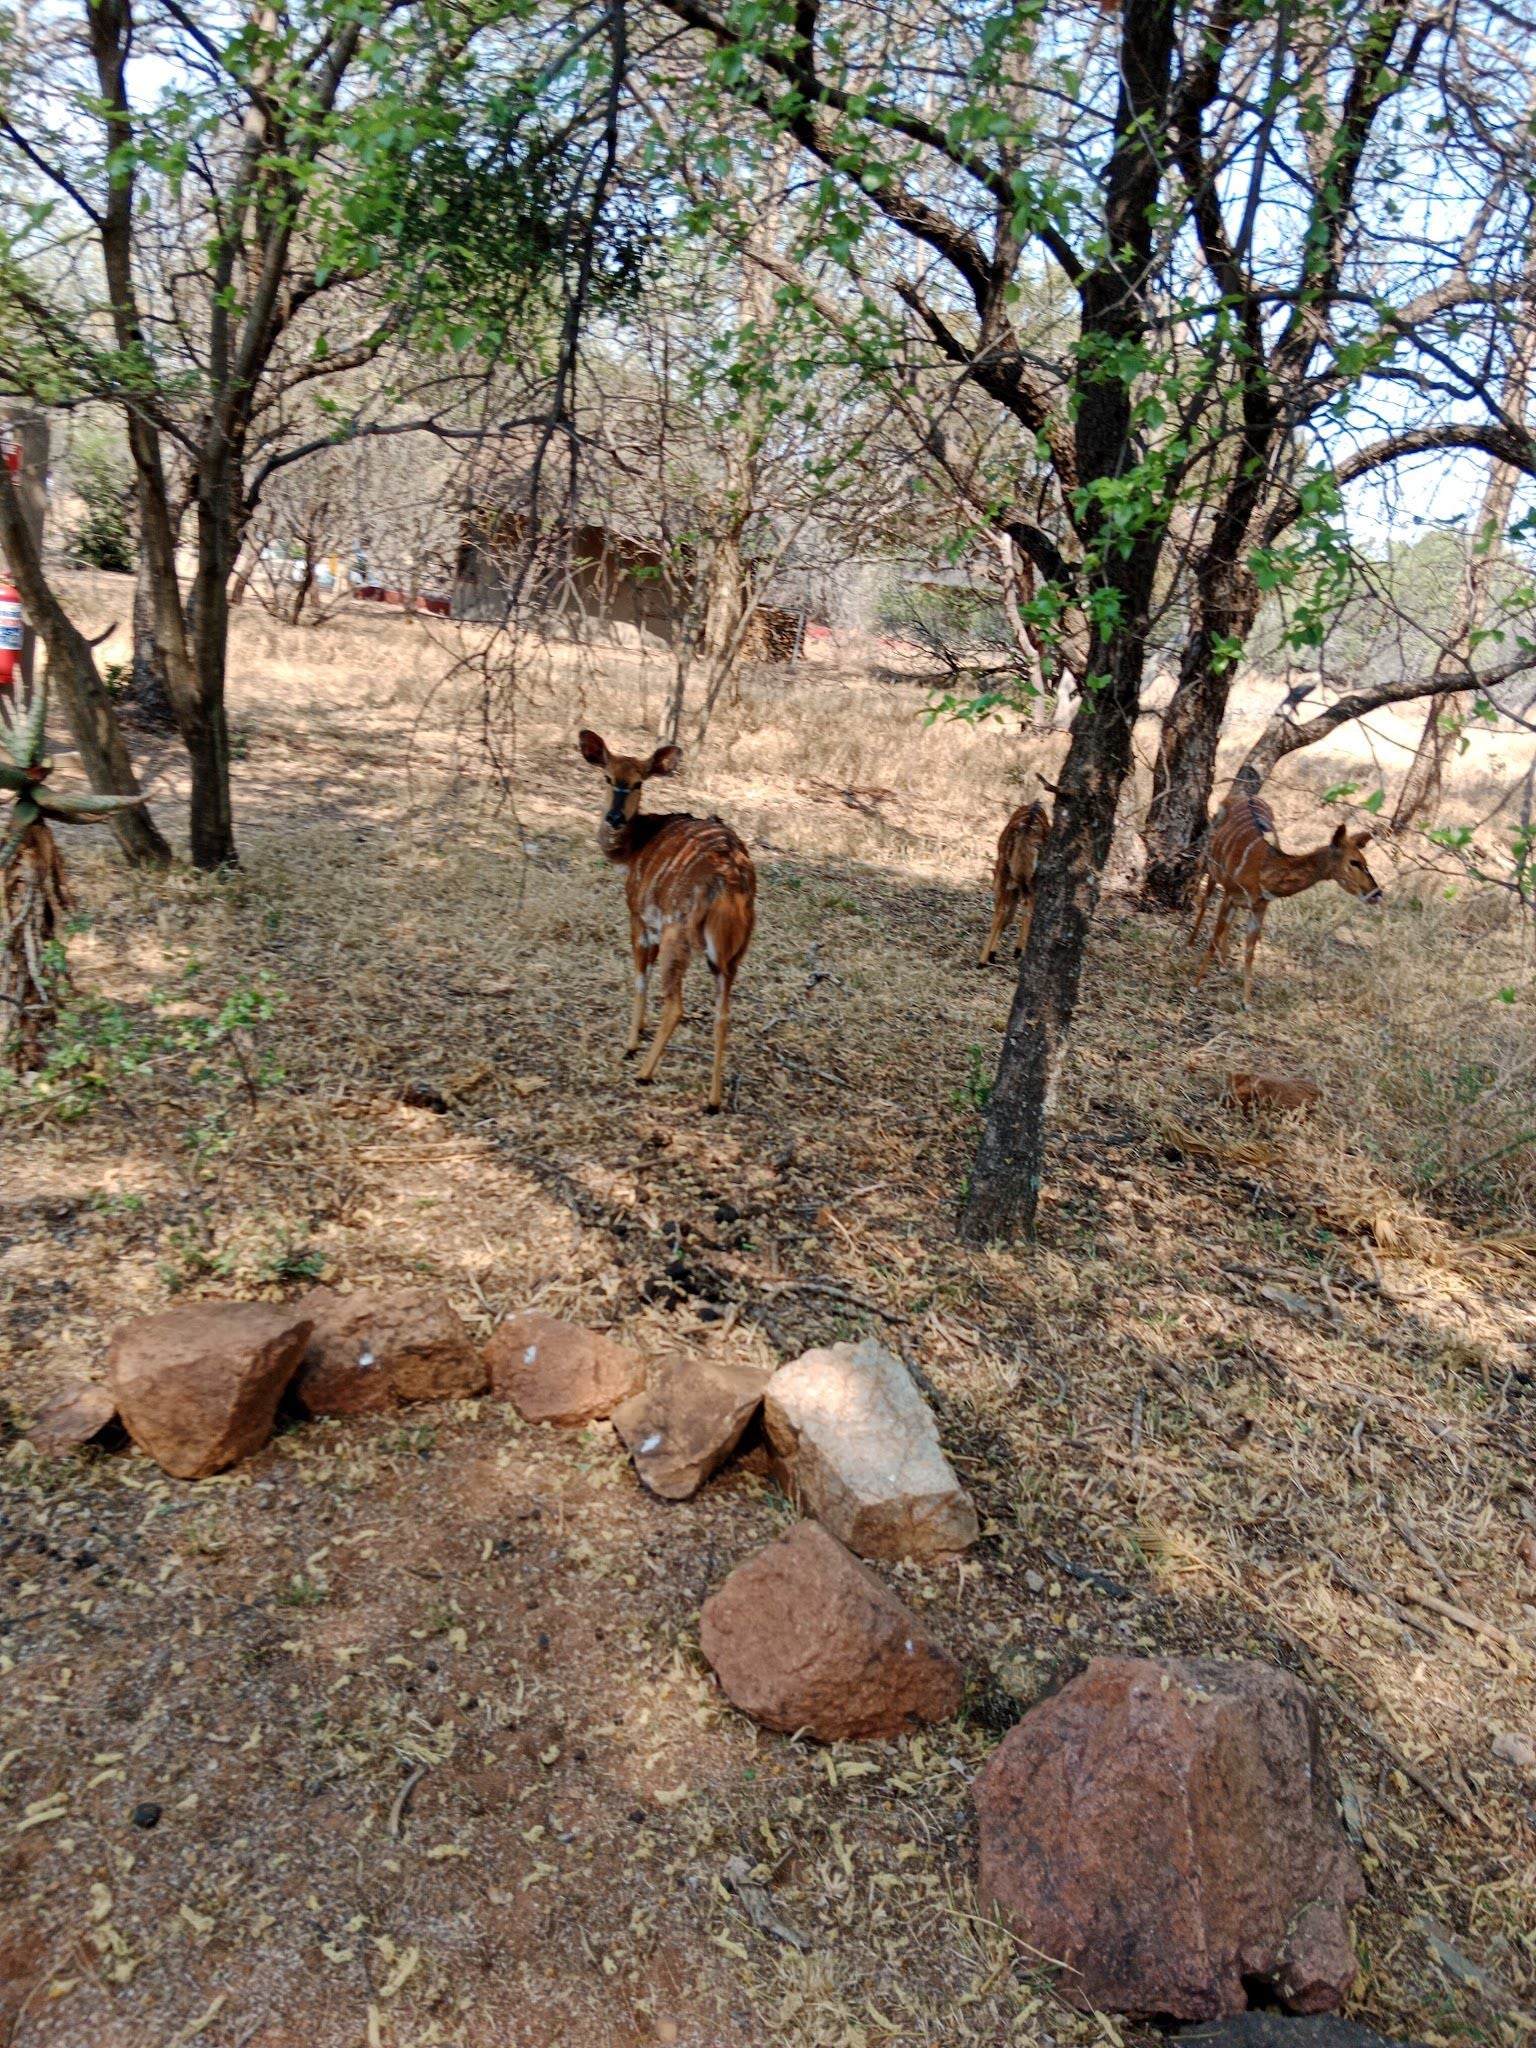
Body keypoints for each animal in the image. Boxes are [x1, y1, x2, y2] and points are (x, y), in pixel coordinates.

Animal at [577, 729, 757, 1114]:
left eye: (638, 782)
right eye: (607, 777)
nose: (615, 817)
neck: (635, 847)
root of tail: (730, 883)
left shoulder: (640, 919)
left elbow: (639, 978)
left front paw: (631, 1043)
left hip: (681, 939)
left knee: (676, 1005)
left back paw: (644, 1074)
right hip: (731, 957)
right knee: (723, 1015)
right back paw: (713, 1101)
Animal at [978, 798, 1056, 966]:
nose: (992, 886)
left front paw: (993, 953)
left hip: (1007, 871)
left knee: (1005, 910)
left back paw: (985, 959)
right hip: (1027, 876)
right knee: (1023, 908)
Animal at [1187, 786, 1392, 1003]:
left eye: (1366, 862)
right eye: (1354, 862)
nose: (1376, 893)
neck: (1264, 872)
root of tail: (1243, 794)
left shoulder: (1259, 906)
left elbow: (1250, 951)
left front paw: (1246, 1001)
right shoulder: (1230, 894)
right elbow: (1213, 939)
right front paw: (1194, 986)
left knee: (1229, 920)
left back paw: (1224, 964)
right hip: (1212, 866)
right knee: (1205, 899)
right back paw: (1190, 943)